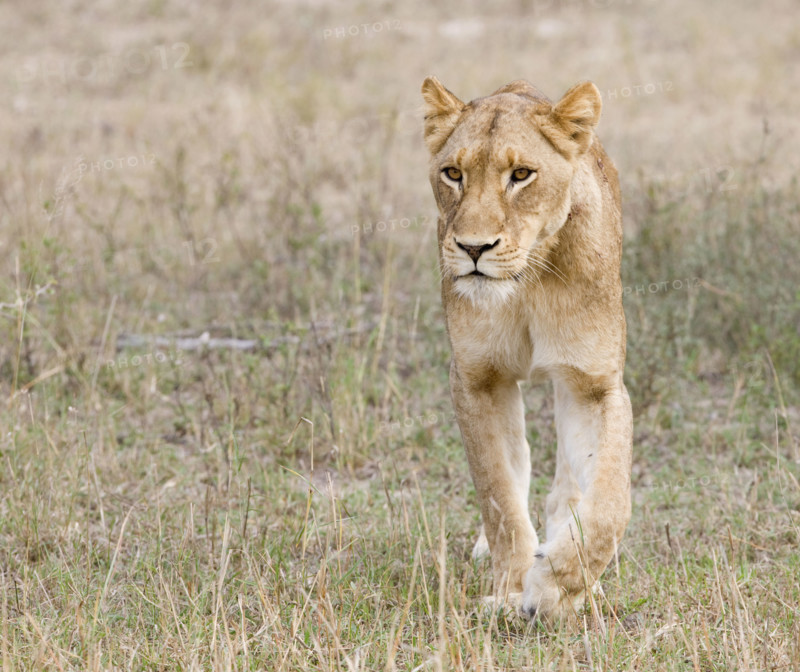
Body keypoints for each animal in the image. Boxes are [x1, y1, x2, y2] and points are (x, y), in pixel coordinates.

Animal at [421, 76, 633, 622]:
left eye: (521, 175)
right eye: (453, 173)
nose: (474, 248)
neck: (527, 282)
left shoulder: (594, 384)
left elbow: (609, 506)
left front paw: (553, 587)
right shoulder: (477, 380)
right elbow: (498, 494)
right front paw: (514, 587)